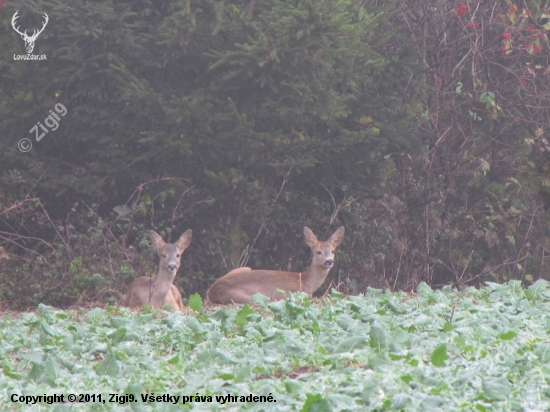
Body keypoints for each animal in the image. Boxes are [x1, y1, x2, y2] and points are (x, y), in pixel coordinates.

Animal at [207, 227, 344, 304]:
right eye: (318, 252)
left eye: (333, 251)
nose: (329, 261)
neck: (306, 281)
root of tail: (212, 291)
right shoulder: (304, 294)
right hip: (248, 298)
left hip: (245, 268)